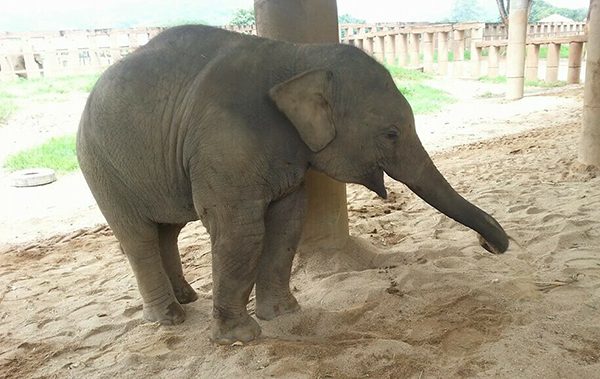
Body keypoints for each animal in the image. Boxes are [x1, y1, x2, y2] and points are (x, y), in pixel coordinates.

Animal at [74, 23, 506, 344]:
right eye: (391, 134)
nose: (490, 246)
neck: (298, 56)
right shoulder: (225, 145)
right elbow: (240, 231)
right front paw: (240, 339)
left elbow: (288, 221)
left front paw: (284, 314)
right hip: (101, 166)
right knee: (139, 237)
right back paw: (169, 319)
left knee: (167, 230)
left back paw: (186, 300)